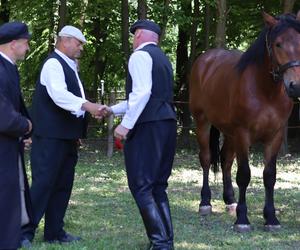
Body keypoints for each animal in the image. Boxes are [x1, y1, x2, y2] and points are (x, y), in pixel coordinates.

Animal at [190, 10, 300, 231]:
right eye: (278, 44)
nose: (295, 86)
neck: (265, 91)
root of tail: (205, 59)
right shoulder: (243, 134)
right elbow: (244, 175)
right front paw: (242, 219)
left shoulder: (274, 136)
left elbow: (269, 176)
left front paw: (271, 218)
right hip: (202, 122)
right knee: (206, 159)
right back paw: (205, 202)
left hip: (230, 133)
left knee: (225, 160)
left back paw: (230, 201)